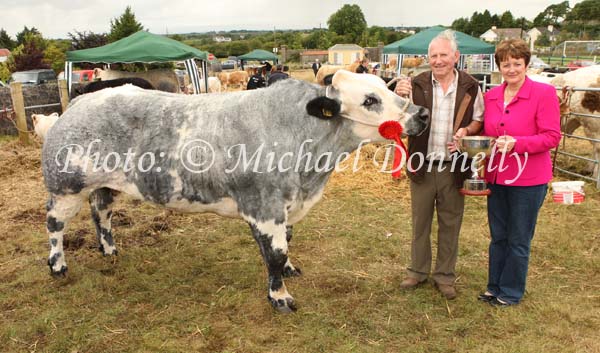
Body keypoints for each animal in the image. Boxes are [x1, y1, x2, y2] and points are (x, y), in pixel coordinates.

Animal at [42, 70, 428, 312]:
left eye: (387, 89)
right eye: (369, 100)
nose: (422, 114)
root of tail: (80, 102)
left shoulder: (286, 207)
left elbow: (286, 246)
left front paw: (290, 270)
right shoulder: (265, 207)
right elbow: (275, 254)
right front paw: (280, 297)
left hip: (106, 185)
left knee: (101, 212)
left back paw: (109, 249)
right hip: (66, 187)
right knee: (55, 225)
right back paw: (58, 265)